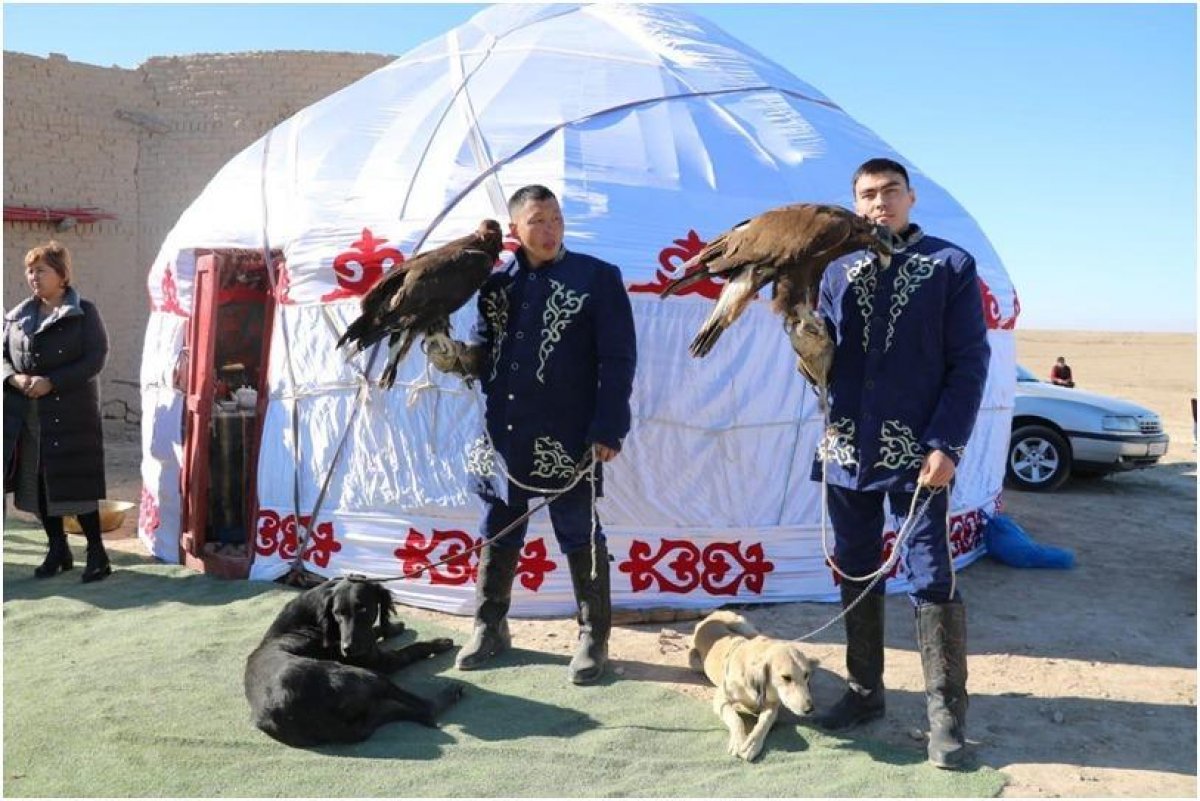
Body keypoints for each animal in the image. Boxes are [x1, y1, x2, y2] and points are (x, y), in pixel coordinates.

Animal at [244, 576, 464, 747]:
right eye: (337, 613)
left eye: (363, 609)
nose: (347, 649)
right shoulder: (378, 662)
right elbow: (411, 650)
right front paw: (438, 643)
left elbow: (376, 631)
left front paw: (395, 627)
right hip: (368, 676)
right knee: (426, 709)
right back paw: (451, 692)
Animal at [688, 610, 817, 761]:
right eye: (786, 677)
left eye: (806, 675)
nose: (810, 709)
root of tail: (715, 613)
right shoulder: (721, 700)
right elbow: (735, 718)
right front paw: (738, 741)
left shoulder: (772, 705)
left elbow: (764, 722)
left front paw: (752, 744)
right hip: (695, 662)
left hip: (746, 628)